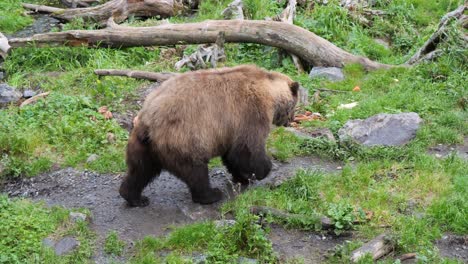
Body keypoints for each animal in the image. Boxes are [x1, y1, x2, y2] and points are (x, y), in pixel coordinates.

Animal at [119, 64, 298, 206]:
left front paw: (243, 177)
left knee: (141, 169)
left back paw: (134, 197)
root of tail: (149, 117)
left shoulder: (230, 129)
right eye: (295, 105)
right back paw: (211, 194)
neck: (269, 90)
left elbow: (232, 155)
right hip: (183, 136)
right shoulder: (249, 111)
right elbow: (247, 149)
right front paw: (261, 171)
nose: (291, 121)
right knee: (195, 170)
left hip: (143, 144)